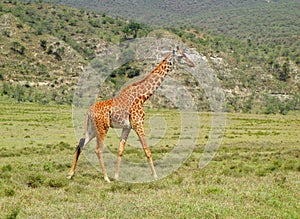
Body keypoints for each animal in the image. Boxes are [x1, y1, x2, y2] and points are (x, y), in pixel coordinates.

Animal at [67, 45, 195, 181]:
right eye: (181, 56)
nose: (192, 64)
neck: (142, 97)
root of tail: (89, 111)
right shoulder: (138, 124)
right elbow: (147, 150)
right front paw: (155, 176)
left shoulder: (127, 127)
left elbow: (120, 150)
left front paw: (117, 176)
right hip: (103, 127)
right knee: (98, 149)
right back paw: (106, 178)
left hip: (92, 128)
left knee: (80, 144)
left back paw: (70, 174)